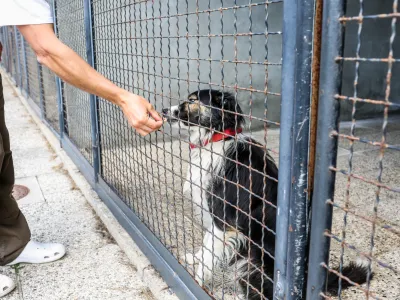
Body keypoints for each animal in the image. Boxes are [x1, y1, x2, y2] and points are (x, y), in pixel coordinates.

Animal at [162, 89, 368, 300]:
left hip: (252, 262)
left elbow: (208, 255)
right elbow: (205, 246)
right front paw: (193, 258)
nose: (163, 110)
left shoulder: (224, 219)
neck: (217, 139)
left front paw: (196, 281)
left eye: (192, 101)